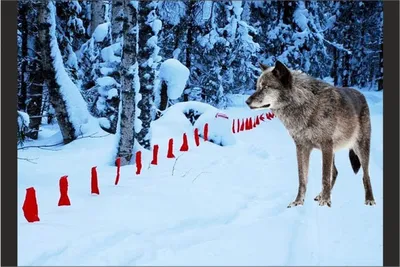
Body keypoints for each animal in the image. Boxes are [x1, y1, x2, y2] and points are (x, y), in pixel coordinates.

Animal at [247, 61, 376, 208]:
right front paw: (298, 202)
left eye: (266, 87)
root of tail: (361, 94)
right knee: (335, 172)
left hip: (360, 148)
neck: (305, 103)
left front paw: (325, 202)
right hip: (334, 151)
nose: (247, 101)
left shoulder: (326, 145)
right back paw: (320, 195)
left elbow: (324, 176)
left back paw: (369, 199)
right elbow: (302, 179)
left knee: (365, 175)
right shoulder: (301, 147)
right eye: (258, 87)